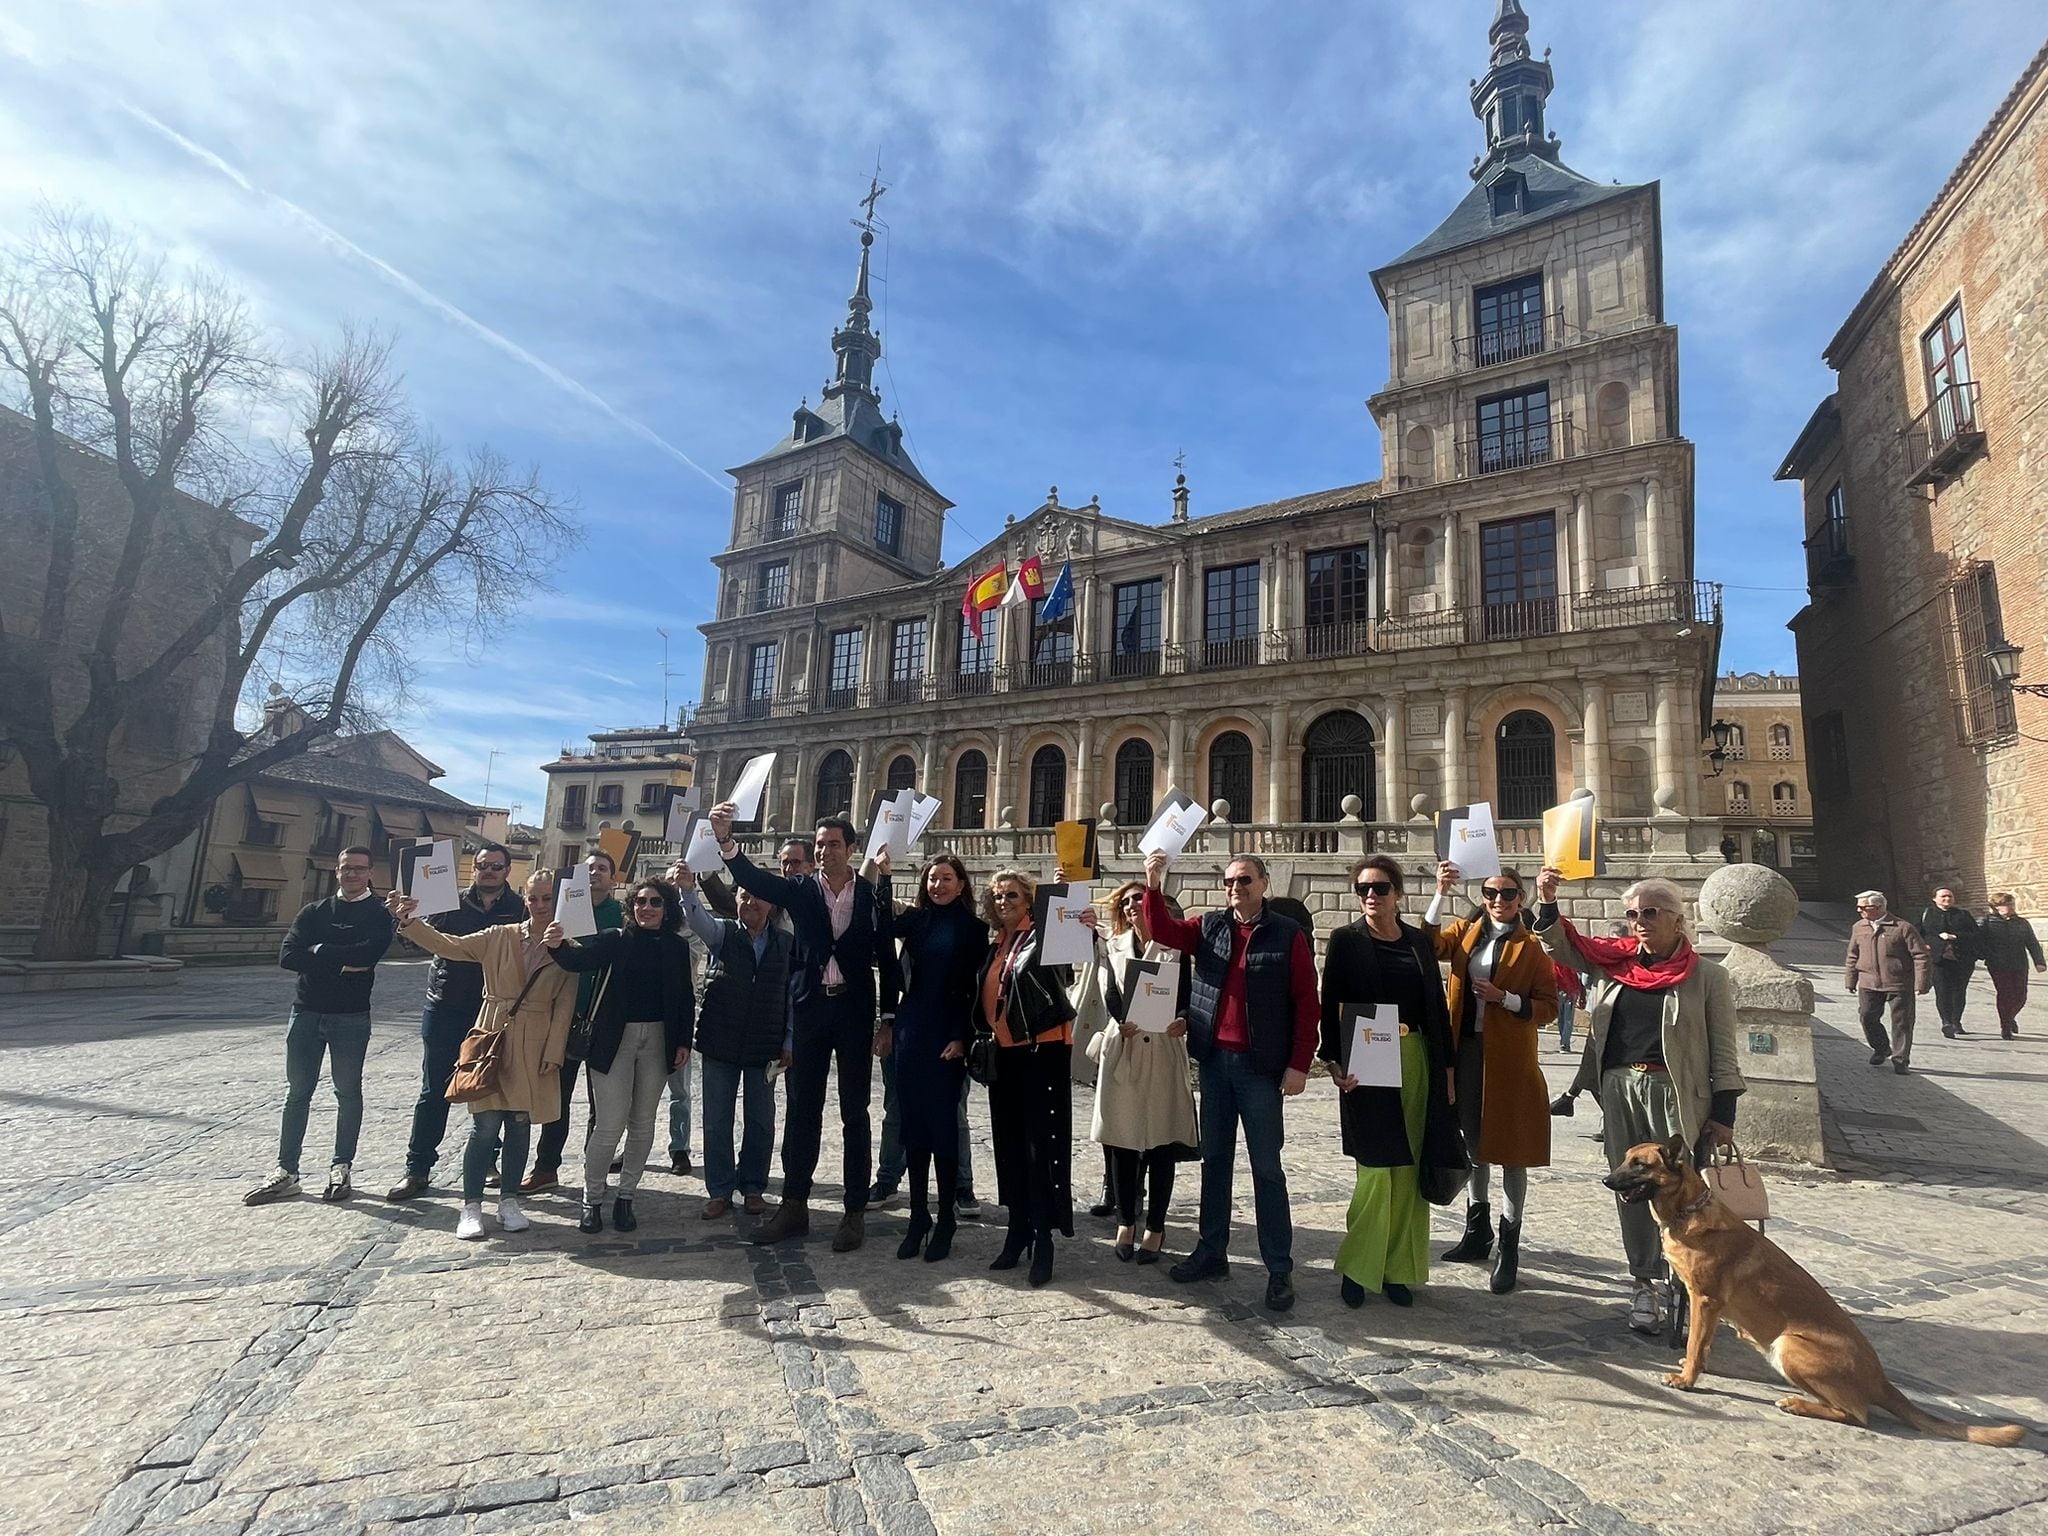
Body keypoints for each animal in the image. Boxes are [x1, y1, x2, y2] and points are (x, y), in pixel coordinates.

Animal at [1605, 1138, 2023, 1449]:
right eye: (1625, 1159)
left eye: (1639, 1165)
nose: (1607, 1180)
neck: (1686, 1211)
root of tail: (1879, 1378)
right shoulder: (1703, 1305)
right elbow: (1700, 1345)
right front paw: (1690, 1369)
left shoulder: (1704, 1300)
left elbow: (1694, 1343)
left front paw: (1687, 1380)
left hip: (1789, 1345)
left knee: (1856, 1414)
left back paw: (1797, 1404)